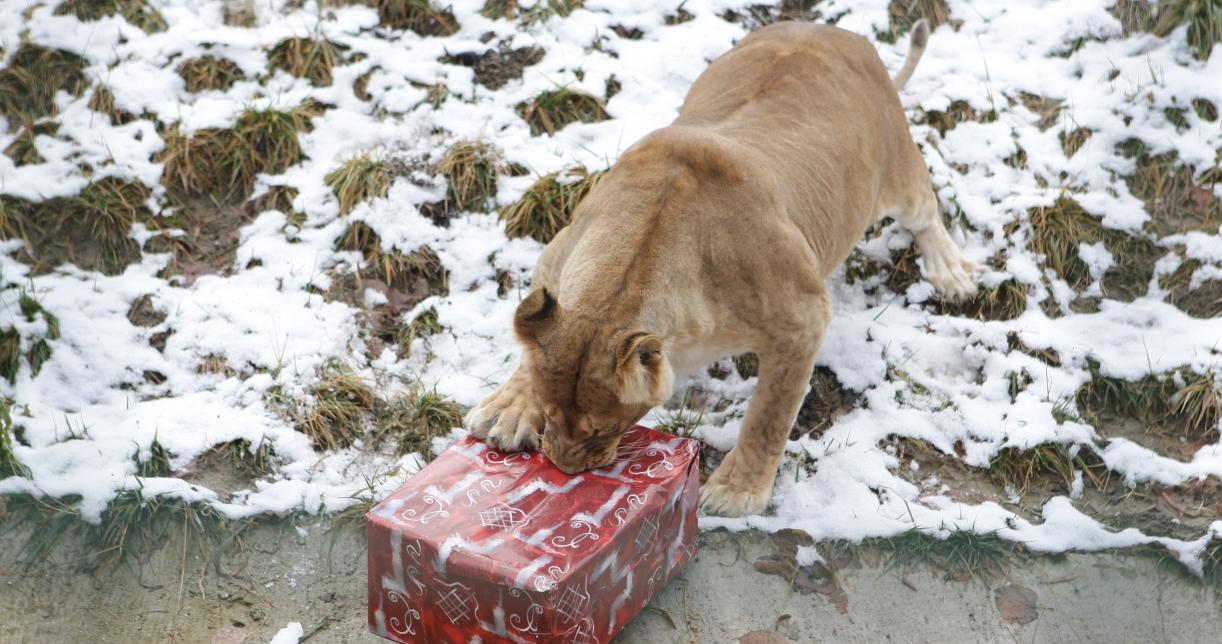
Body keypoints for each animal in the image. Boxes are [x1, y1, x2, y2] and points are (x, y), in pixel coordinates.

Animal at [466, 19, 977, 516]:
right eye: (549, 414)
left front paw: (737, 492)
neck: (634, 265)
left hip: (898, 176)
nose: (566, 467)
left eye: (603, 428)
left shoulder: (804, 317)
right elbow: (531, 338)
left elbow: (769, 416)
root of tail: (836, 31)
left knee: (925, 207)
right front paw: (507, 411)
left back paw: (951, 273)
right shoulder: (556, 254)